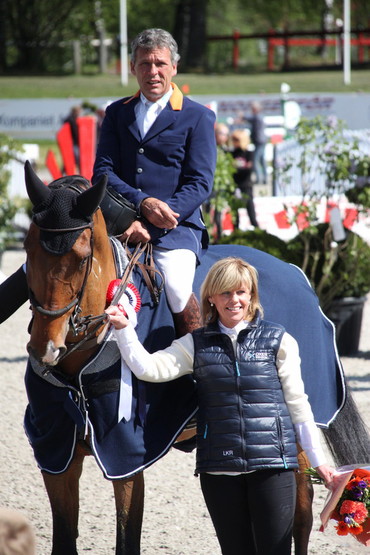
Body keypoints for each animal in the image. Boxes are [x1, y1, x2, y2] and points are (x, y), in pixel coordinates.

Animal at [21, 159, 370, 552]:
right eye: (28, 249)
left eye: (81, 258)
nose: (45, 348)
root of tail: (296, 273)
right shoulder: (56, 456)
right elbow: (64, 537)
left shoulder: (125, 457)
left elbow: (127, 538)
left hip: (295, 429)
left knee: (301, 512)